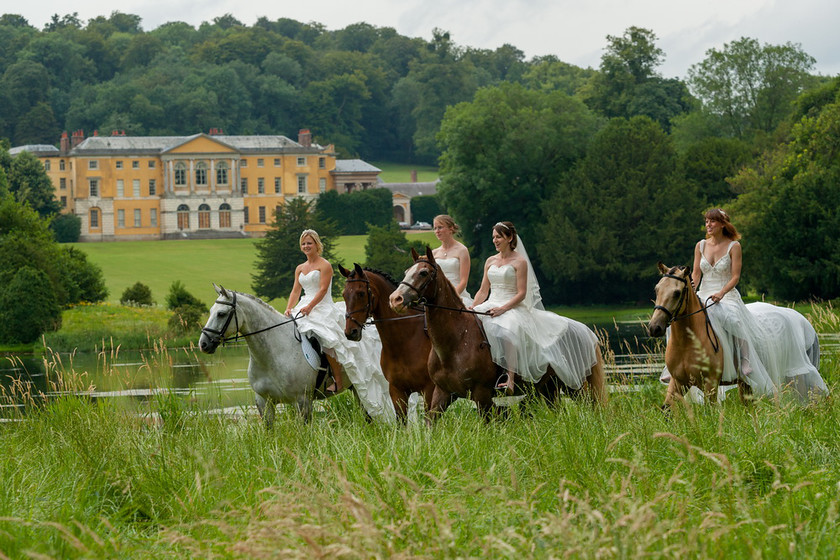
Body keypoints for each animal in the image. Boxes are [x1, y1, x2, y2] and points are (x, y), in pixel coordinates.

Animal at [199, 286, 350, 426]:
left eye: (221, 314)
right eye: (211, 312)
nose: (203, 344)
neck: (272, 356)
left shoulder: (303, 401)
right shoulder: (264, 401)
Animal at [390, 245, 608, 416]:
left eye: (423, 273)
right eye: (407, 271)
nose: (395, 299)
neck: (457, 340)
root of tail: (584, 330)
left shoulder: (482, 395)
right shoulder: (441, 393)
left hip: (576, 386)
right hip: (548, 388)